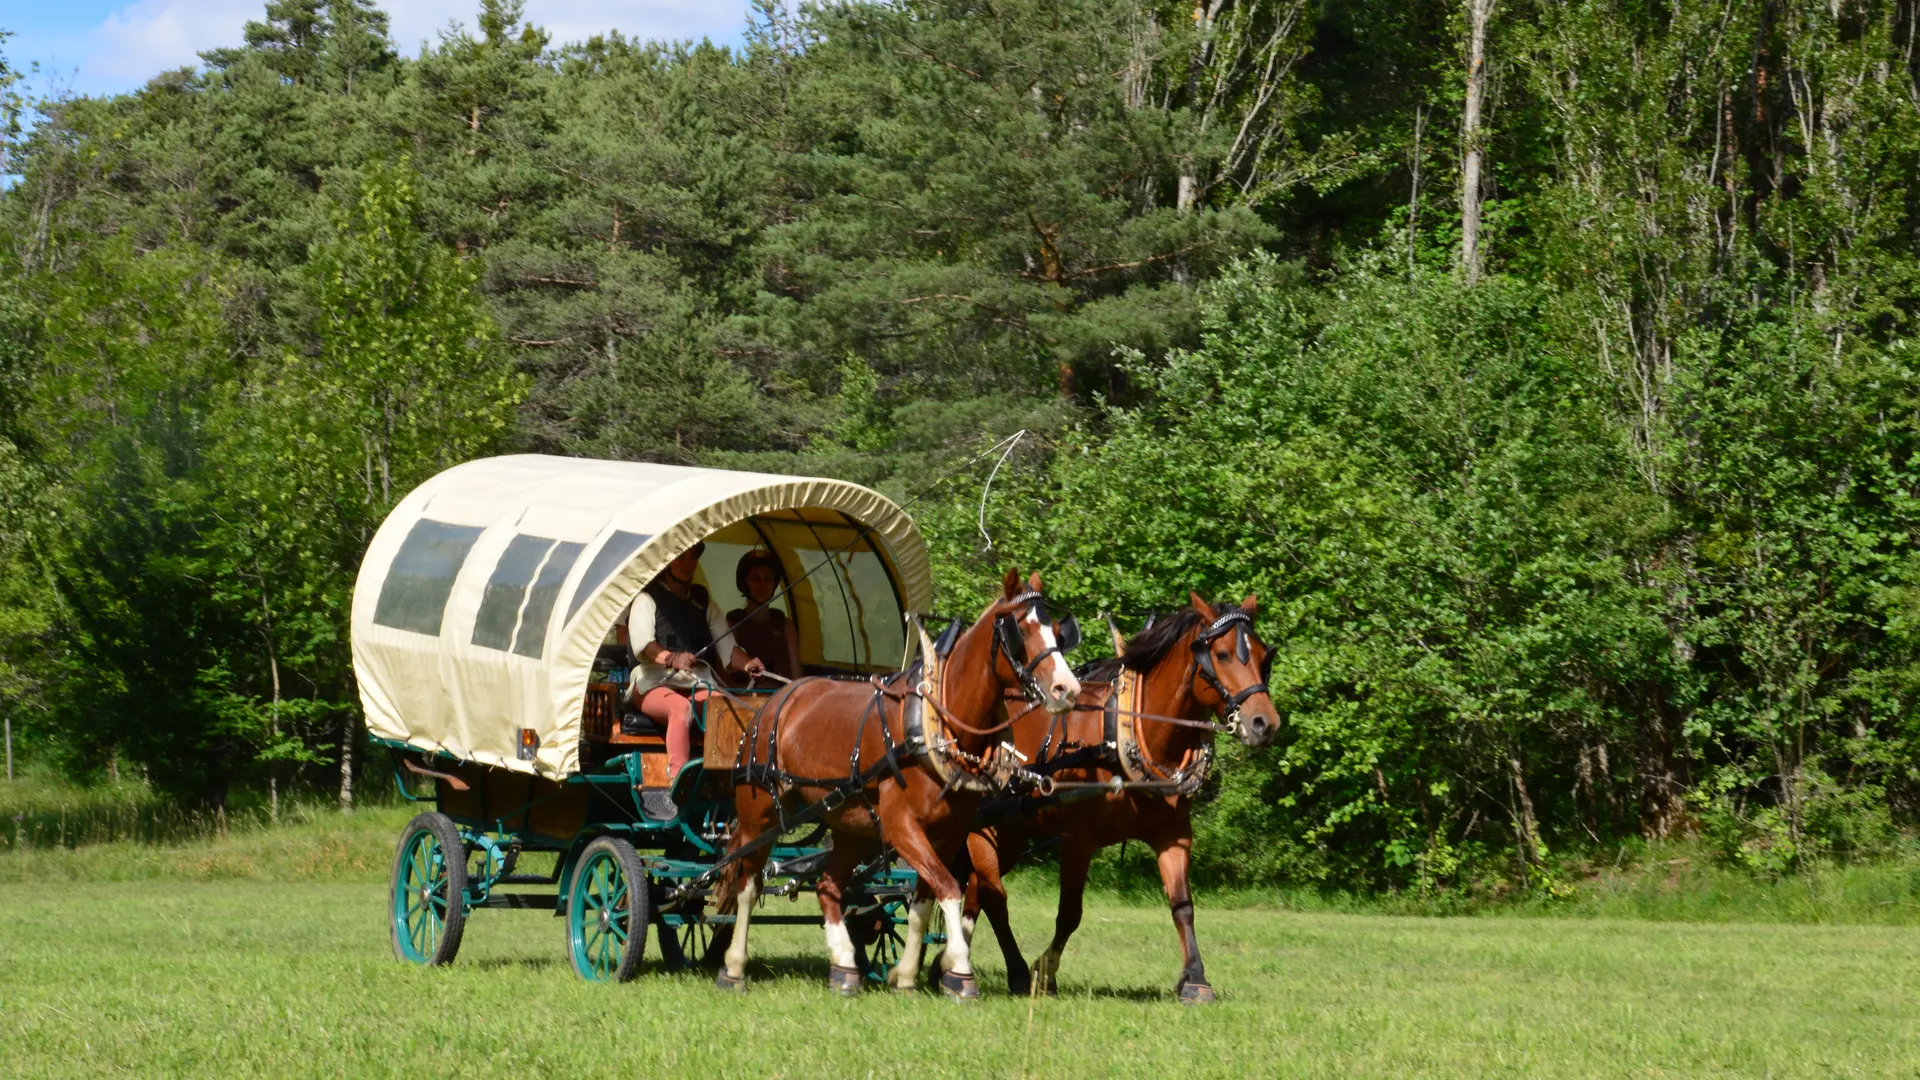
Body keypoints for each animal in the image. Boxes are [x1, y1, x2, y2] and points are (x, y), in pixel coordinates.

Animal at [714, 568, 1090, 999]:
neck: (936, 724)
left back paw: (844, 966)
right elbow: (949, 888)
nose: (1068, 689)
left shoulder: (948, 832)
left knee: (827, 885)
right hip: (758, 811)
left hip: (851, 824)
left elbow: (925, 900)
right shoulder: (901, 826)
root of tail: (776, 699)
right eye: (1020, 630)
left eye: (1058, 631)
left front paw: (906, 974)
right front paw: (960, 971)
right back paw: (734, 967)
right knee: (748, 883)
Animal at [960, 588, 1274, 999]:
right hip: (981, 827)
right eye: (1221, 655)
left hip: (1010, 832)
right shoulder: (1076, 839)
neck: (1126, 730)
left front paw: (1195, 978)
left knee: (975, 891)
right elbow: (1069, 913)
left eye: (1264, 655)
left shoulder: (1173, 833)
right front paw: (1045, 970)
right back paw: (1007, 971)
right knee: (992, 896)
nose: (1265, 723)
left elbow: (1182, 905)